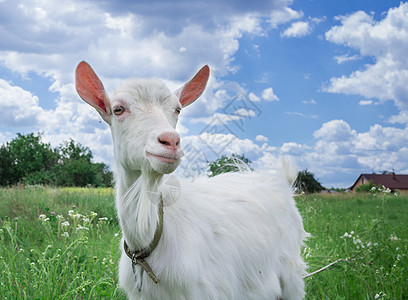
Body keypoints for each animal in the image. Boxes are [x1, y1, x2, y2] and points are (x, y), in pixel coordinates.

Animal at [75, 62, 306, 298]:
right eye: (118, 109)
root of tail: (282, 182)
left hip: (291, 274)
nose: (171, 141)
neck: (147, 242)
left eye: (177, 110)